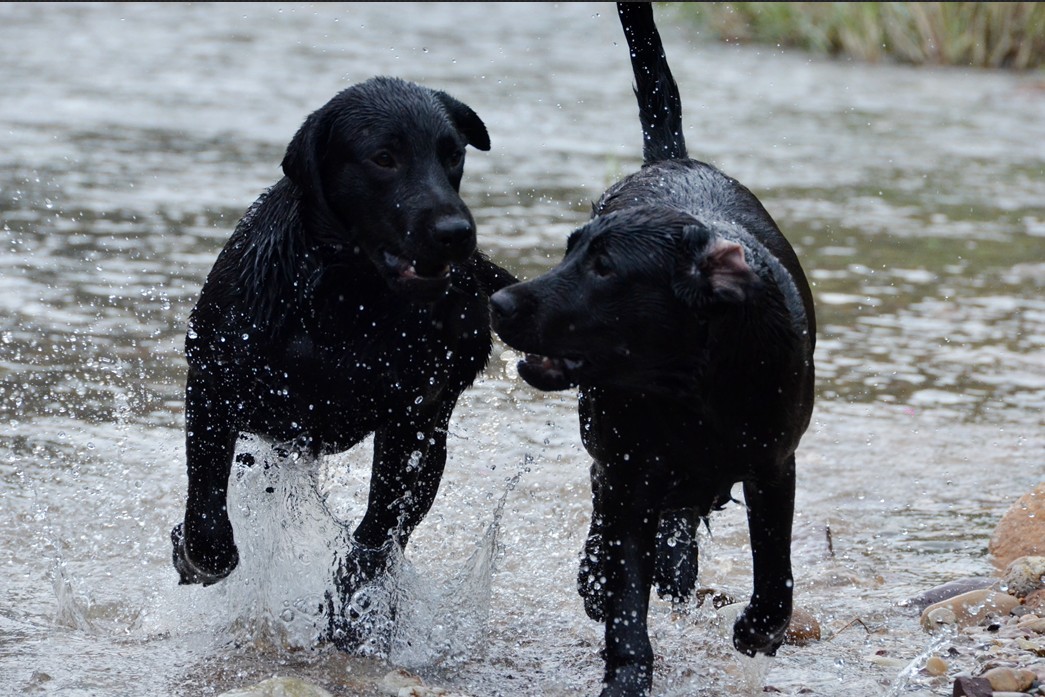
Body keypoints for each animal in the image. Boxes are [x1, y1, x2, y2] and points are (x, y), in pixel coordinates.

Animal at [170, 77, 514, 643]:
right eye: (383, 158)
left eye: (453, 155)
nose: (456, 232)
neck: (345, 300)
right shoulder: (214, 383)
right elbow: (206, 506)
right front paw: (196, 552)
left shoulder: (415, 428)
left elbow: (376, 535)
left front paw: (356, 605)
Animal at [489, 6, 815, 697]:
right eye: (570, 250)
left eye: (605, 268)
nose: (498, 304)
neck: (689, 390)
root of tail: (677, 158)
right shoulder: (627, 471)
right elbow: (623, 593)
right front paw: (626, 668)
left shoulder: (774, 463)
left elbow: (775, 572)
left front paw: (758, 631)